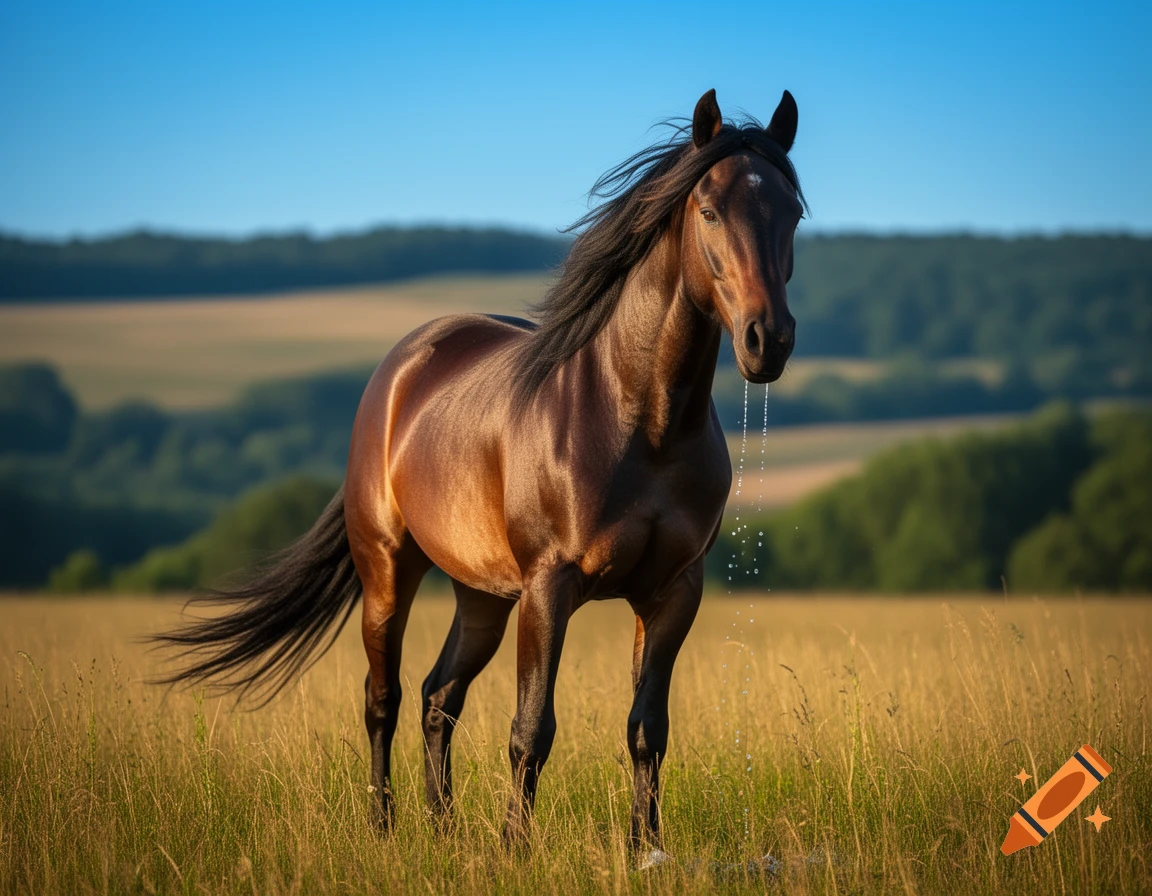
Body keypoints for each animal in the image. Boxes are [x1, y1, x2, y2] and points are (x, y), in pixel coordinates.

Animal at [154, 87, 806, 853]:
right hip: (389, 570)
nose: (769, 341)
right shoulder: (550, 587)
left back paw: (442, 830)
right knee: (384, 698)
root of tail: (403, 366)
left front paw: (646, 851)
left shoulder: (673, 592)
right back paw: (384, 828)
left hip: (482, 595)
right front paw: (515, 850)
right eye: (708, 209)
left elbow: (647, 730)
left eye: (793, 212)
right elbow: (531, 731)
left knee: (439, 696)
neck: (641, 419)